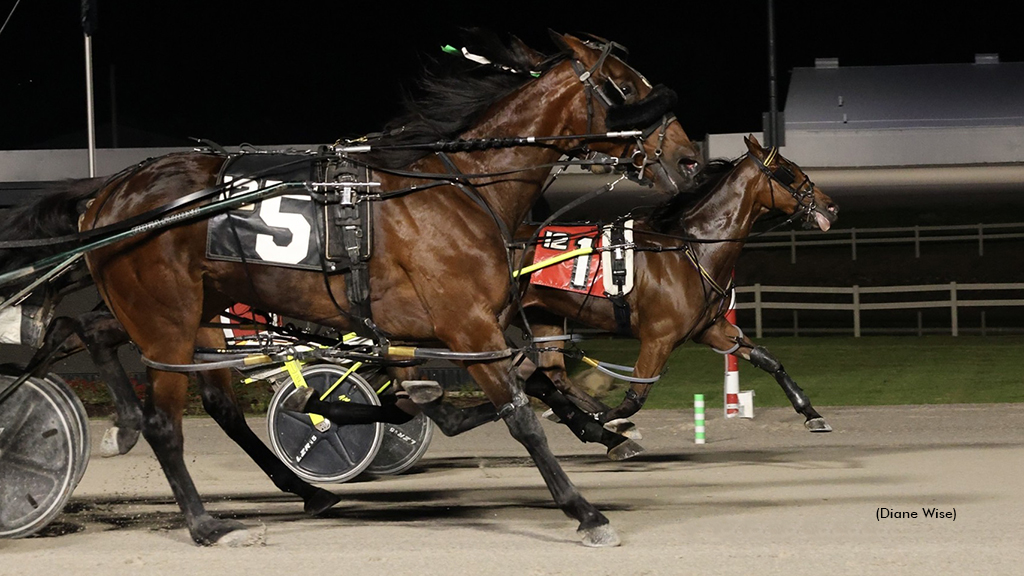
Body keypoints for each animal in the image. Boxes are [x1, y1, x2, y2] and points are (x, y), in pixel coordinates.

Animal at [6, 31, 700, 546]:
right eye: (627, 88)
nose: (689, 158)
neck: (459, 189)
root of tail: (107, 194)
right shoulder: (466, 323)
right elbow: (520, 414)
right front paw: (585, 511)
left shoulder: (454, 326)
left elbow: (510, 388)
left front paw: (606, 428)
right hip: (166, 318)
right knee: (163, 420)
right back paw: (205, 522)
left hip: (192, 310)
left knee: (121, 348)